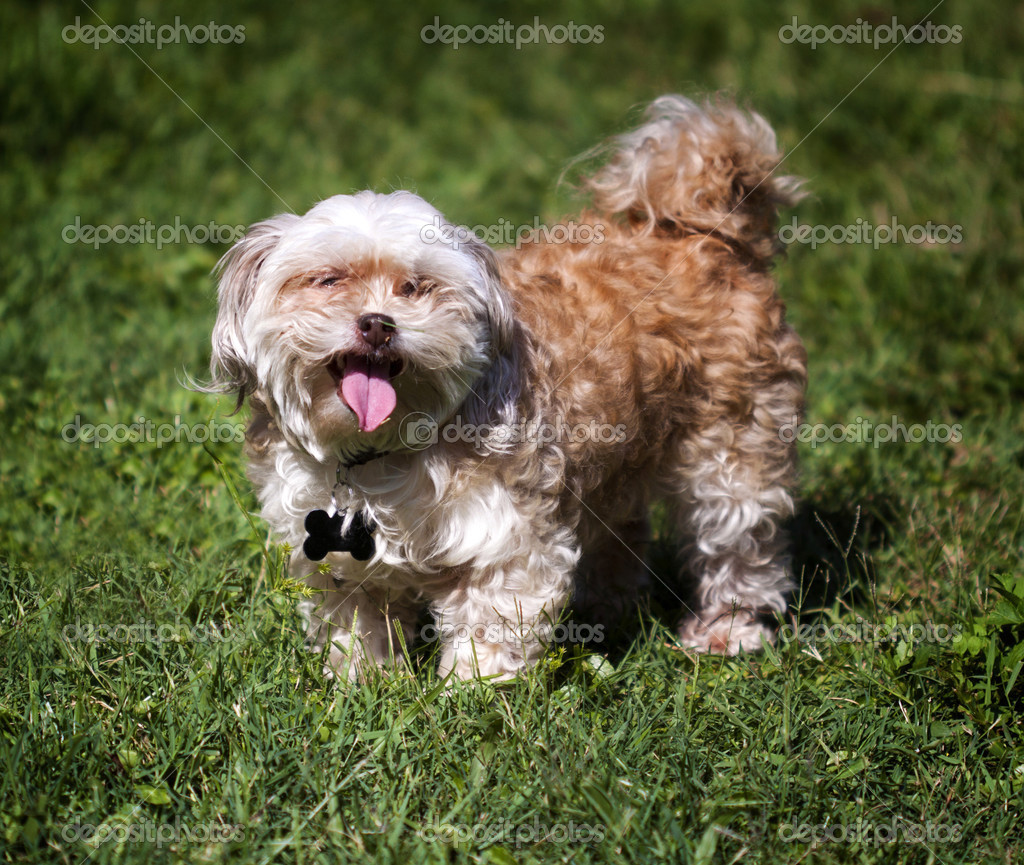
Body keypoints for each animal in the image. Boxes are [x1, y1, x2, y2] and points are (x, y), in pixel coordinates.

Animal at [207, 96, 806, 679]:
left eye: (416, 288)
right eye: (328, 280)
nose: (377, 324)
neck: (380, 455)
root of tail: (704, 233)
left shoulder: (507, 536)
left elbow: (491, 624)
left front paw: (472, 696)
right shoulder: (333, 555)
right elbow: (356, 623)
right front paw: (361, 683)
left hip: (732, 449)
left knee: (739, 540)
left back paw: (728, 629)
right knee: (623, 531)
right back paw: (605, 611)